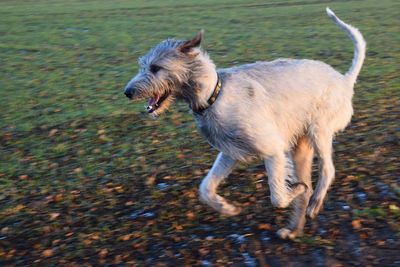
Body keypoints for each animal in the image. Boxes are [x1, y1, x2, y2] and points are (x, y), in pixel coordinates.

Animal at [124, 7, 366, 240]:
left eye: (155, 67)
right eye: (143, 65)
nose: (127, 92)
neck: (214, 95)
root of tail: (344, 80)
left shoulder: (273, 151)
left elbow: (278, 197)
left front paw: (294, 190)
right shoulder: (229, 153)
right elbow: (206, 187)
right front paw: (226, 208)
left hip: (319, 131)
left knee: (328, 169)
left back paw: (314, 200)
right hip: (301, 148)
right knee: (309, 185)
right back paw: (293, 229)